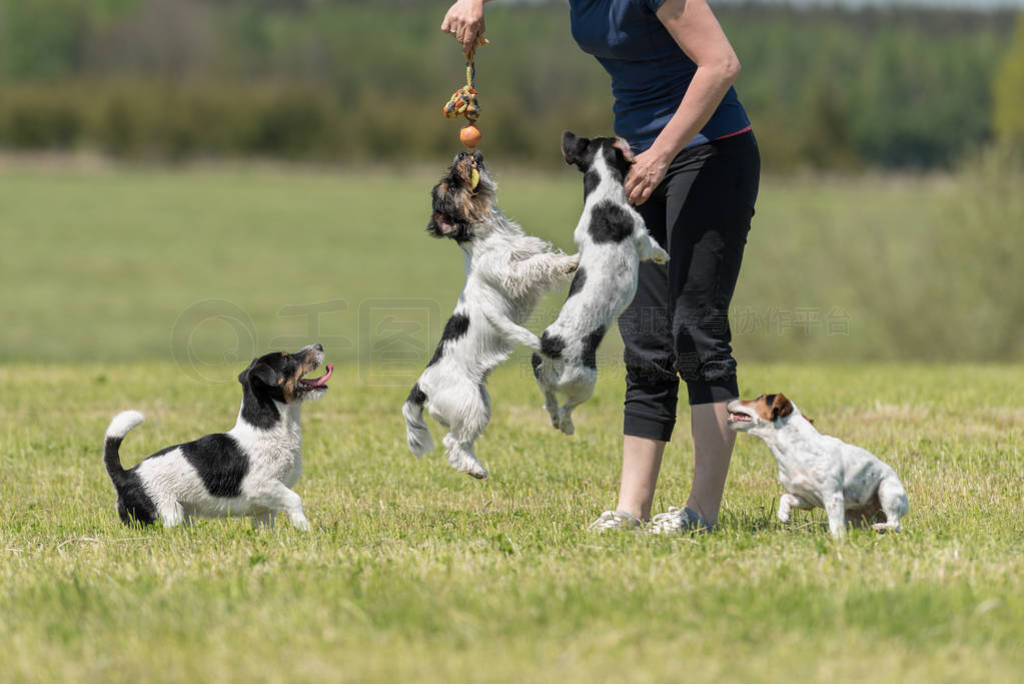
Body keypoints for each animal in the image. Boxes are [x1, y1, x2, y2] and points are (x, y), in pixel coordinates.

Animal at [102, 348, 331, 528]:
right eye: (287, 358)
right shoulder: (261, 485)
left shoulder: (264, 508)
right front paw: (304, 528)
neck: (269, 430)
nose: (319, 346)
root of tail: (125, 474)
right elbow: (295, 500)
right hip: (165, 514)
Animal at [401, 149, 581, 481]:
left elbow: (539, 256)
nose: (462, 152)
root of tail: (420, 388)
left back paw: (477, 467)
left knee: (463, 441)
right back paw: (473, 469)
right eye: (451, 184)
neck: (491, 236)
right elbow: (538, 265)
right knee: (452, 443)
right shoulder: (513, 273)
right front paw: (571, 261)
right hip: (468, 404)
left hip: (480, 404)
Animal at [505, 131, 671, 436]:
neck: (602, 200)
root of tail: (550, 346)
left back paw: (556, 421)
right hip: (586, 381)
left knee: (549, 400)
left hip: (542, 375)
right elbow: (652, 245)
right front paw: (664, 256)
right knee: (566, 406)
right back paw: (568, 426)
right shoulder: (640, 236)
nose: (624, 137)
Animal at [724, 393, 909, 536]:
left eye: (759, 398)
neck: (794, 450)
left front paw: (837, 541)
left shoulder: (832, 496)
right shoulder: (805, 498)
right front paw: (784, 514)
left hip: (887, 491)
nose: (729, 400)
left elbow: (835, 525)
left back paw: (879, 527)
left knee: (895, 524)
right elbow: (785, 497)